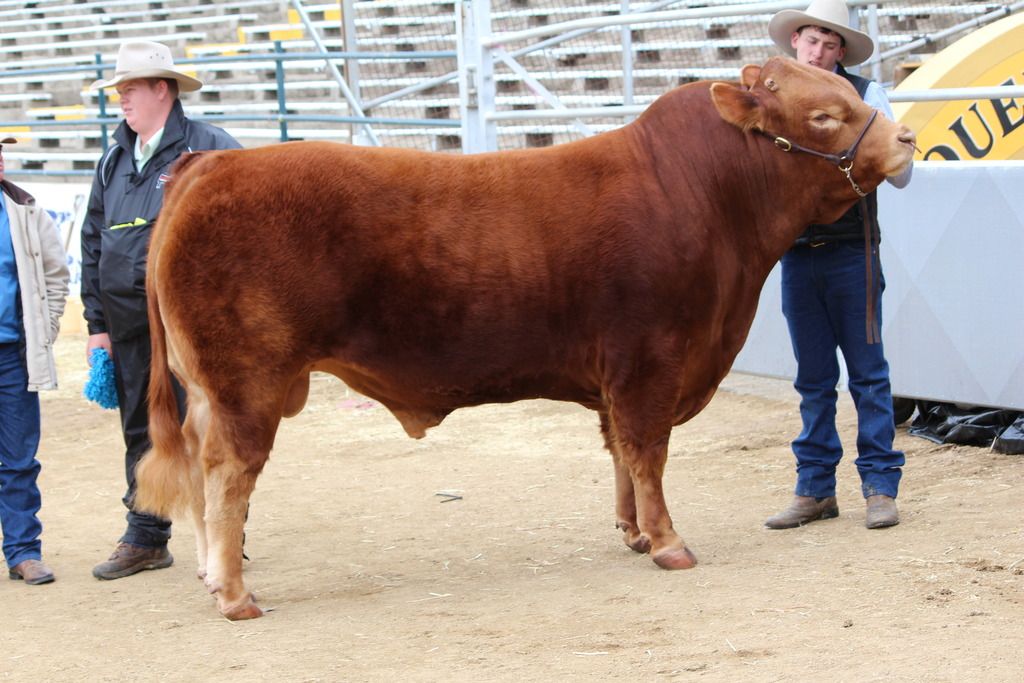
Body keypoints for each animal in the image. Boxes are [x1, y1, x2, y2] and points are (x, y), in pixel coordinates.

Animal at [135, 57, 915, 620]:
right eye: (824, 114)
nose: (906, 138)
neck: (703, 192)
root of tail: (212, 164)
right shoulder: (650, 359)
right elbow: (648, 451)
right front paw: (668, 543)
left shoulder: (618, 374)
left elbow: (620, 452)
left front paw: (634, 532)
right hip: (247, 384)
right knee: (229, 475)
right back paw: (235, 594)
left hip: (208, 388)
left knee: (201, 473)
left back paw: (210, 573)